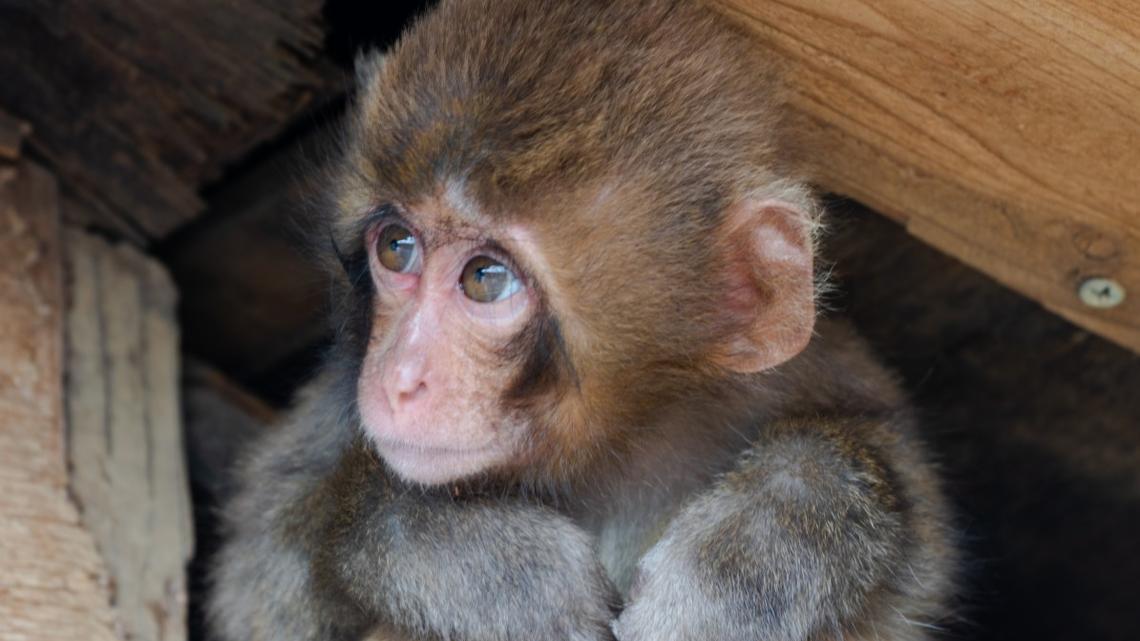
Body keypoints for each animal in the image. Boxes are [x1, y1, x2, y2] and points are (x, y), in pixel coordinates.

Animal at [208, 1, 956, 640]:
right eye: (397, 247)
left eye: (485, 279)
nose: (398, 378)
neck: (618, 446)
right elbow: (263, 565)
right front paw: (481, 567)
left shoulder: (817, 368)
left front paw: (758, 550)